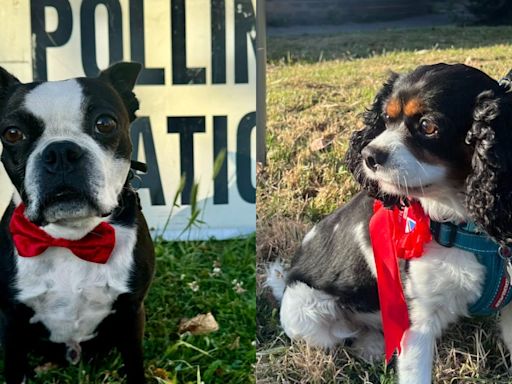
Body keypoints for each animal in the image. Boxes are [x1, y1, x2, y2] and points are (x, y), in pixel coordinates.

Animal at [0, 63, 154, 384]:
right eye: (12, 133)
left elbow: (134, 362)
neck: (71, 238)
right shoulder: (11, 319)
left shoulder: (131, 311)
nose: (60, 152)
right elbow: (13, 368)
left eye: (105, 124)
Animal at [266, 63, 512, 384]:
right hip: (304, 311)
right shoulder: (417, 320)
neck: (464, 224)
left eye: (427, 126)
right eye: (385, 118)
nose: (368, 155)